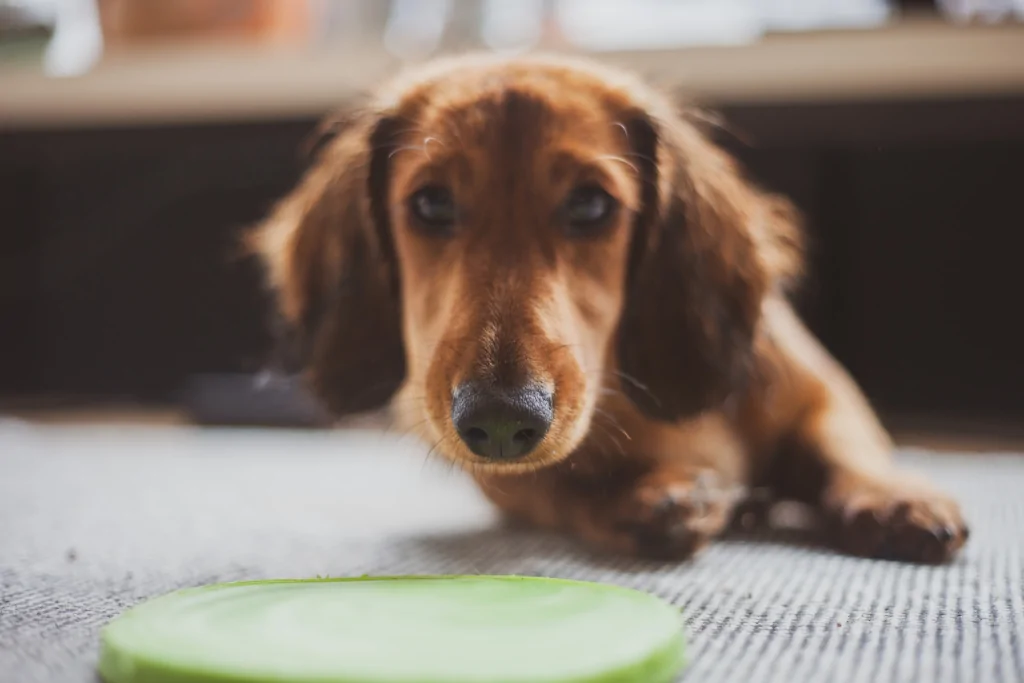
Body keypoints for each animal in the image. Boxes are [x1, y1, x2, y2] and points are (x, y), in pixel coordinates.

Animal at [247, 53, 966, 565]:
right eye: (429, 204)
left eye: (591, 204)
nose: (501, 422)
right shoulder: (496, 476)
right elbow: (560, 487)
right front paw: (650, 498)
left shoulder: (820, 391)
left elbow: (842, 444)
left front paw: (893, 500)